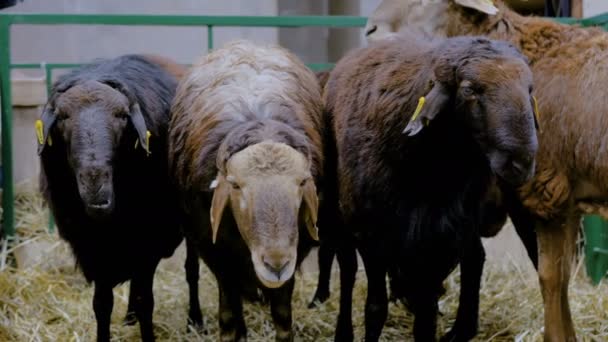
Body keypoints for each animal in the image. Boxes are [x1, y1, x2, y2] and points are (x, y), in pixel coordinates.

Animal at [36, 53, 201, 342]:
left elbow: (147, 301)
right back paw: (129, 316)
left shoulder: (149, 241)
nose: (94, 181)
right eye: (63, 116)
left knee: (191, 269)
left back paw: (195, 320)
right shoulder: (94, 248)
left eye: (123, 116)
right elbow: (102, 305)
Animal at [167, 38, 324, 340]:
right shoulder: (217, 253)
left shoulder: (295, 251)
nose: (275, 264)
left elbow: (283, 318)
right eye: (236, 185)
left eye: (301, 183)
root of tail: (245, 42)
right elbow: (228, 317)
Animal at [326, 31, 540, 340]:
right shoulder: (371, 236)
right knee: (347, 269)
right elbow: (375, 308)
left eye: (529, 88)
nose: (521, 163)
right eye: (469, 90)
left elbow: (425, 316)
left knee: (484, 258)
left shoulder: (441, 238)